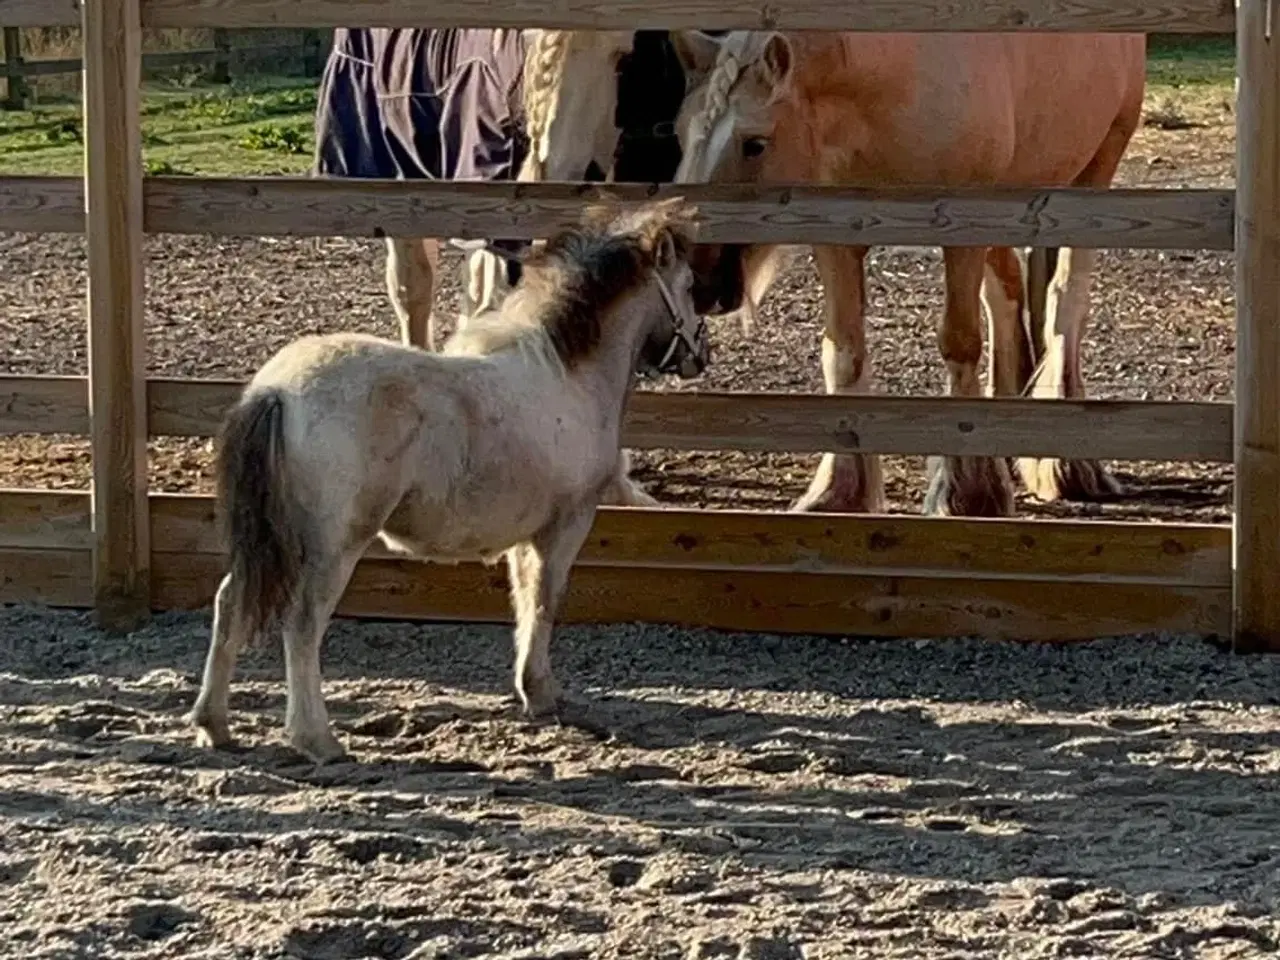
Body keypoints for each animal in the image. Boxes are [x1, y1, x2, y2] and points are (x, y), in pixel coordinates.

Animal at [670, 30, 1141, 519]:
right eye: (680, 134)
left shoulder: (965, 231)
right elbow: (843, 351)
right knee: (1007, 294)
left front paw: (968, 491)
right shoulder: (835, 240)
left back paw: (1069, 466)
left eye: (755, 143)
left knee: (1064, 304)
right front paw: (839, 491)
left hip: (1094, 173)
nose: (695, 279)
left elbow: (960, 344)